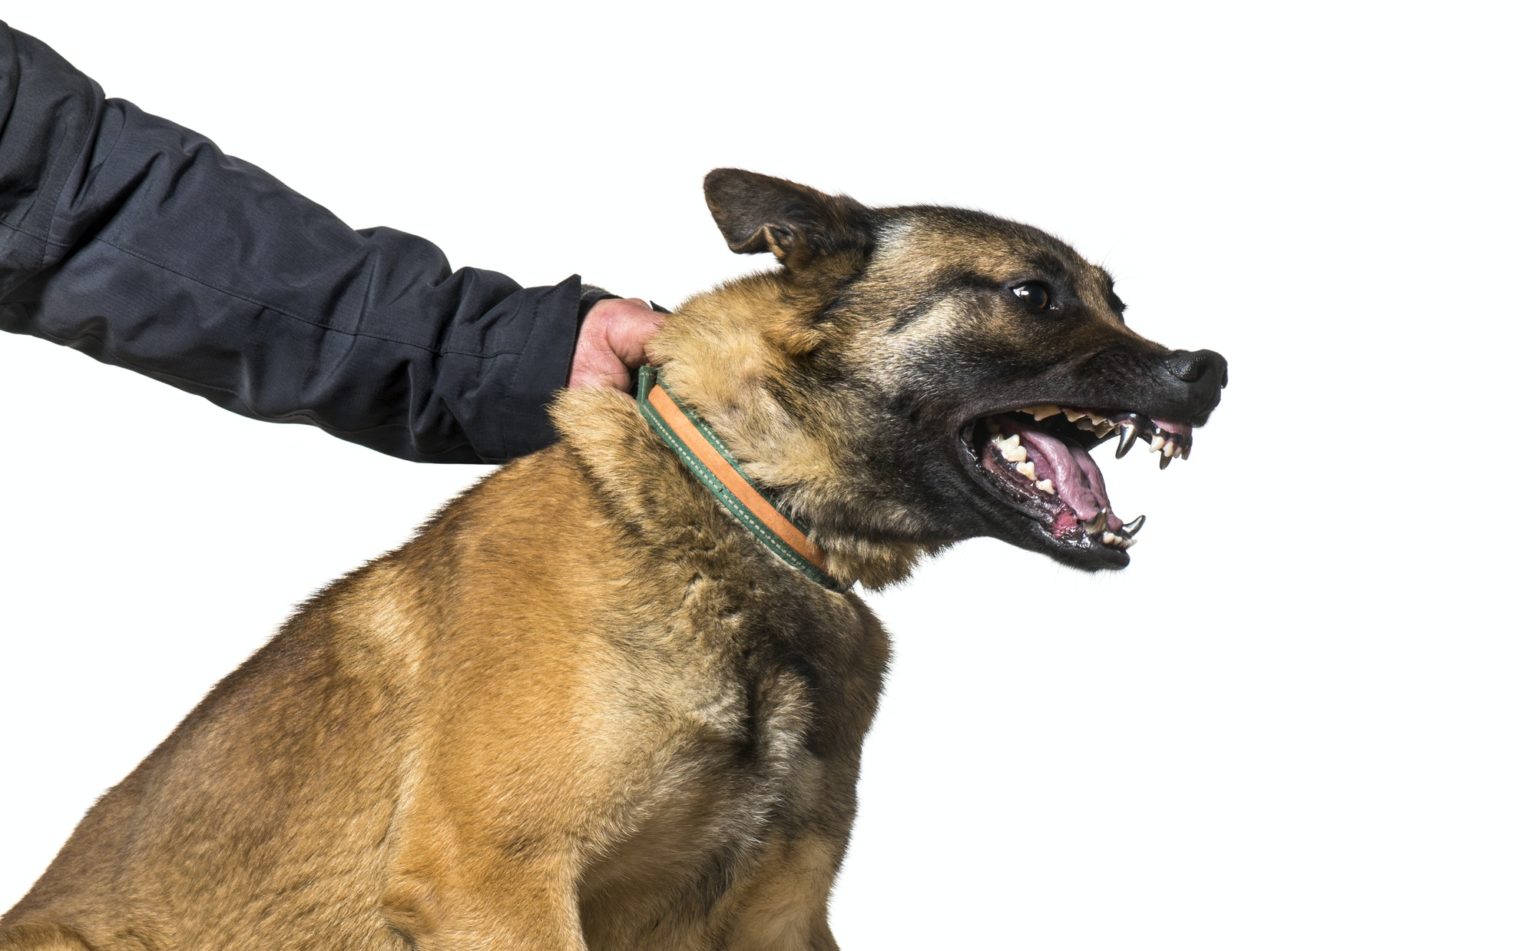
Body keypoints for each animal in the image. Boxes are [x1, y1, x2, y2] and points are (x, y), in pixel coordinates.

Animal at [0, 171, 1222, 951]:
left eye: (1117, 296)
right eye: (1031, 295)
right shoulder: (495, 881)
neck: (736, 519)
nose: (1207, 370)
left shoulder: (779, 914)